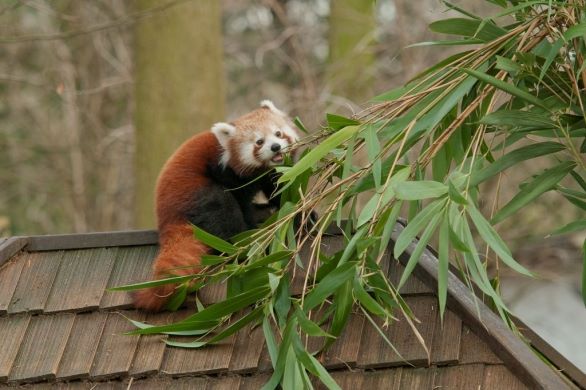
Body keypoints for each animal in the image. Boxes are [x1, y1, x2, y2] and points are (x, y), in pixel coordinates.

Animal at [132, 100, 296, 310]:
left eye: (278, 133)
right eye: (259, 142)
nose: (275, 147)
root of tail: (166, 217)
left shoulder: (272, 173)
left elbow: (281, 188)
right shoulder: (227, 173)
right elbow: (241, 202)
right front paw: (253, 223)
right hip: (197, 192)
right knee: (222, 209)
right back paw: (244, 241)